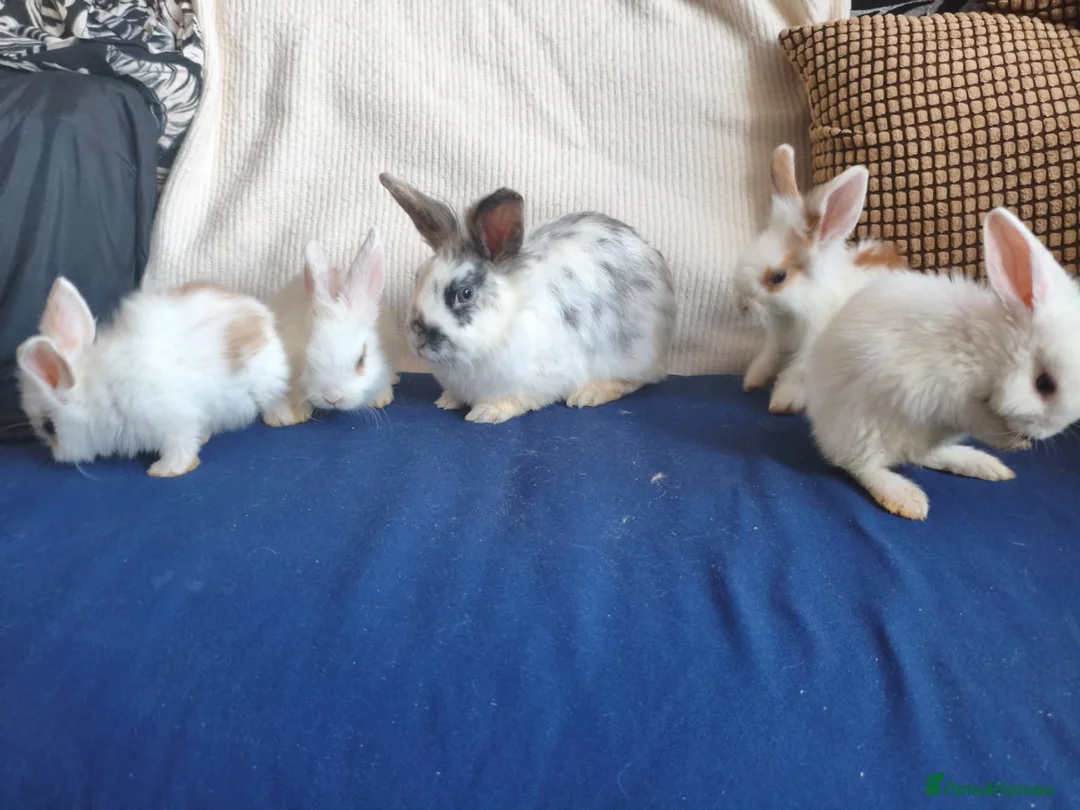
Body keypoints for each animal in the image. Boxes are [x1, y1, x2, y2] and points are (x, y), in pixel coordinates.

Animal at [16, 277, 289, 477]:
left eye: (49, 427)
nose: (56, 456)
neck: (100, 392)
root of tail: (262, 315)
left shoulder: (171, 420)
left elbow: (179, 447)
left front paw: (164, 471)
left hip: (262, 380)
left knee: (274, 397)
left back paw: (280, 418)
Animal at [379, 173, 677, 424]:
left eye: (465, 293)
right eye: (418, 276)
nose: (418, 338)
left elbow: (516, 401)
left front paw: (487, 413)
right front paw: (447, 401)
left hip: (631, 353)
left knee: (636, 380)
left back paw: (590, 393)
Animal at [735, 144, 907, 415]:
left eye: (778, 277)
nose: (741, 305)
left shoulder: (810, 349)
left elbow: (795, 375)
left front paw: (783, 403)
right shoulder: (776, 341)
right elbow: (767, 359)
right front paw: (752, 381)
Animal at [804, 206, 1080, 521]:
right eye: (1044, 384)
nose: (1044, 434)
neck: (992, 352)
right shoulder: (946, 396)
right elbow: (977, 419)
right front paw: (1012, 442)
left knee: (924, 455)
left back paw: (984, 465)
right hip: (862, 430)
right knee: (861, 465)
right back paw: (907, 499)